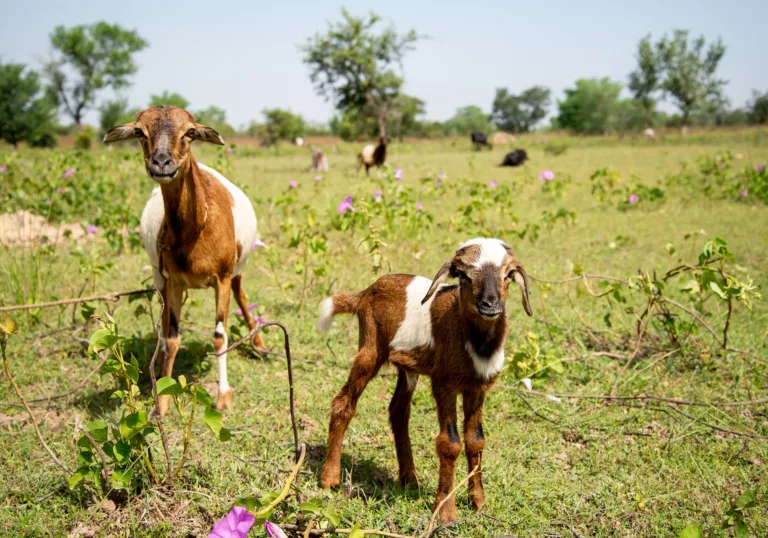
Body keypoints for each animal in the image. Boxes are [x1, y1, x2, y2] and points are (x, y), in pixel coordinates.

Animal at [105, 107, 268, 412]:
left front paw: (223, 395)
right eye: (140, 132)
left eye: (190, 132)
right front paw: (162, 400)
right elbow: (171, 338)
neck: (197, 228)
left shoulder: (222, 277)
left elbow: (219, 336)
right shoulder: (174, 281)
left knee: (241, 293)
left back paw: (260, 345)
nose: (161, 162)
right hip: (161, 278)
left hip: (236, 269)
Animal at [316, 238, 532, 520]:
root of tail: (364, 292)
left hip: (408, 367)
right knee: (344, 402)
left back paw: (409, 478)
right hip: (370, 349)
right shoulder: (444, 383)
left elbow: (476, 440)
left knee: (398, 411)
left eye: (508, 274)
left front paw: (479, 503)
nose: (490, 305)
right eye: (463, 275)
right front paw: (446, 511)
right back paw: (330, 478)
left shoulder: (477, 387)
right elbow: (450, 443)